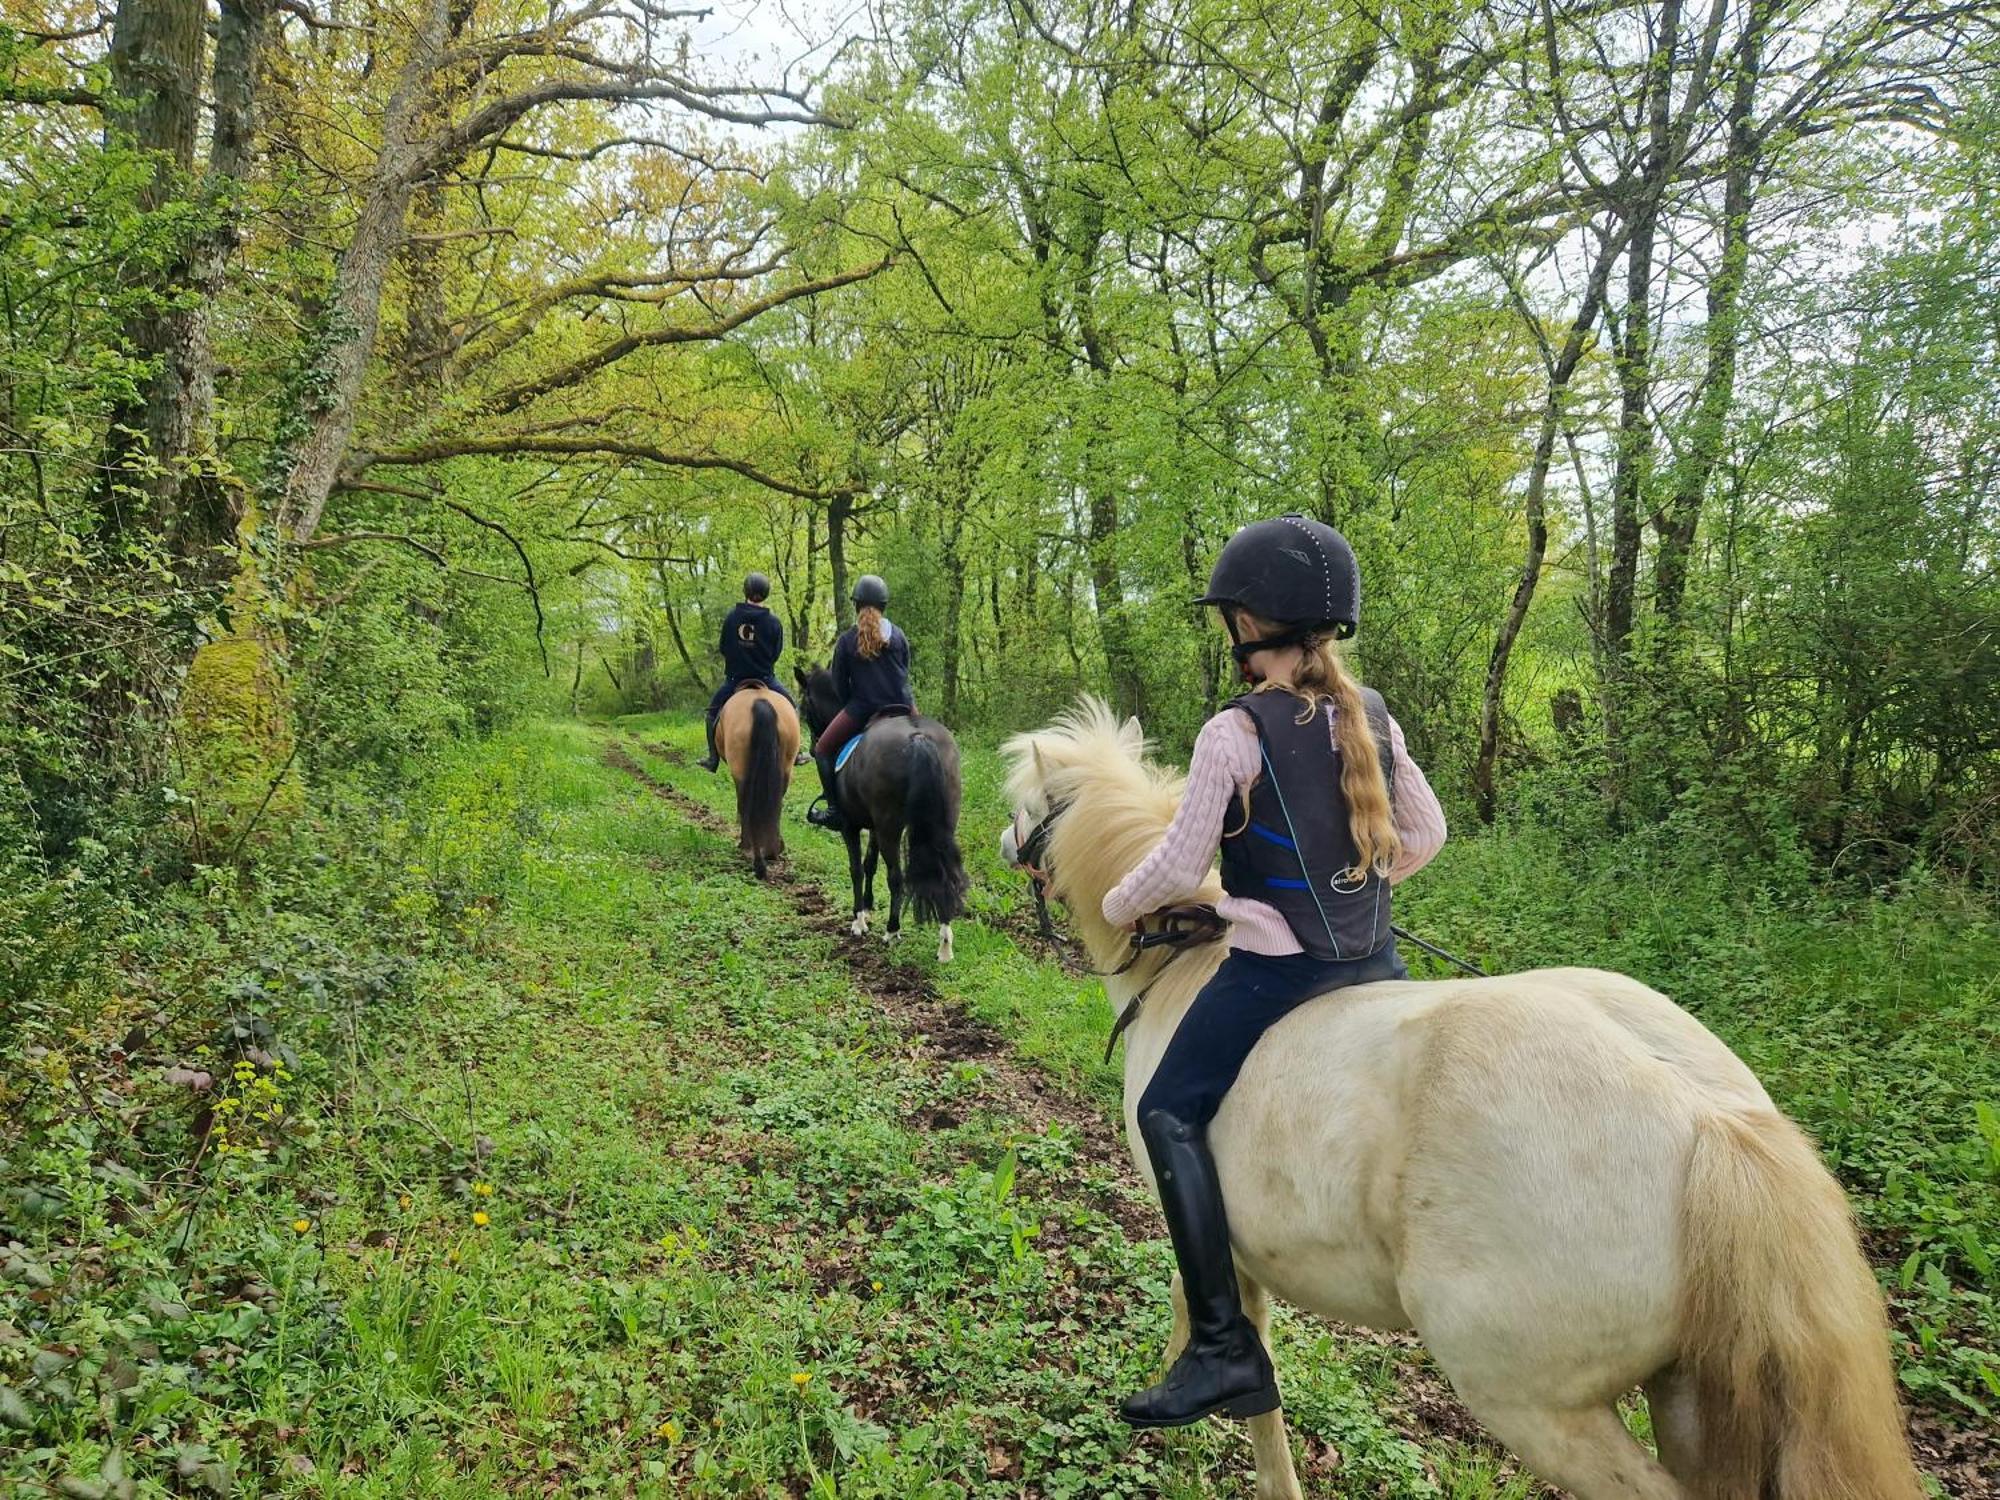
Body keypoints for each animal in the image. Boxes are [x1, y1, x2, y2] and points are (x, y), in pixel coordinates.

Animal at [796, 668, 968, 964]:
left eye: (806, 707)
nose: (814, 747)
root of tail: (918, 737)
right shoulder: (875, 826)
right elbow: (869, 864)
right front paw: (866, 908)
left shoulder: (851, 827)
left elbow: (856, 868)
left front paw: (858, 921)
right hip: (941, 824)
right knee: (944, 874)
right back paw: (945, 944)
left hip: (890, 827)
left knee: (896, 877)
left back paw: (892, 930)